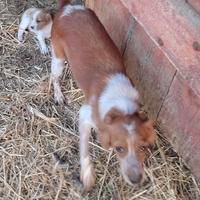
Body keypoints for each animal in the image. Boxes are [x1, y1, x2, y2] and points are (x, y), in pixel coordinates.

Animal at [50, 0, 155, 191]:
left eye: (143, 147)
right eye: (119, 148)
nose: (136, 180)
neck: (122, 105)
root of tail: (68, 7)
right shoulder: (85, 115)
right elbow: (84, 151)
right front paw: (87, 176)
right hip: (58, 58)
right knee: (54, 77)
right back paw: (59, 95)